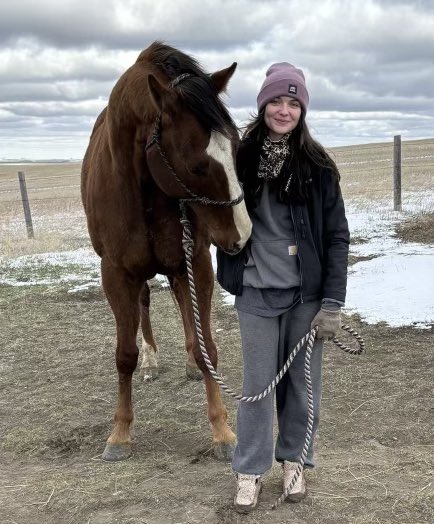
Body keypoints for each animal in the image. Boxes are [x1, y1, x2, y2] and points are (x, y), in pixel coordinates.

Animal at [81, 42, 251, 462]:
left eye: (236, 148)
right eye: (197, 165)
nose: (243, 235)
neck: (143, 187)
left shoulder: (197, 260)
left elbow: (207, 346)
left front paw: (222, 431)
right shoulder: (116, 274)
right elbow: (123, 354)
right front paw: (120, 433)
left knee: (182, 302)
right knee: (146, 303)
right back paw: (152, 359)